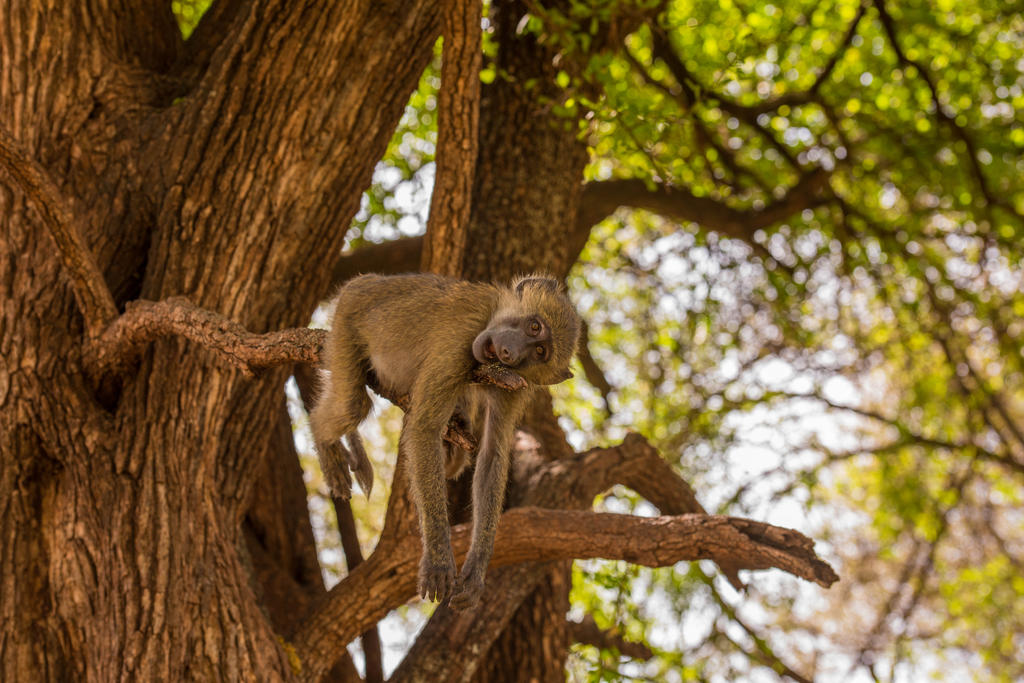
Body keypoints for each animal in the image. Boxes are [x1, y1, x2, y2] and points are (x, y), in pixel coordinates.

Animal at [309, 273, 581, 609]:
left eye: (540, 352)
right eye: (534, 326)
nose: (510, 353)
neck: (490, 314)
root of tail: (366, 281)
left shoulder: (515, 383)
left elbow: (491, 456)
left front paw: (477, 568)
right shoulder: (461, 335)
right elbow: (424, 428)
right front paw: (438, 559)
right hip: (348, 316)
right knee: (352, 405)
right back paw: (323, 441)